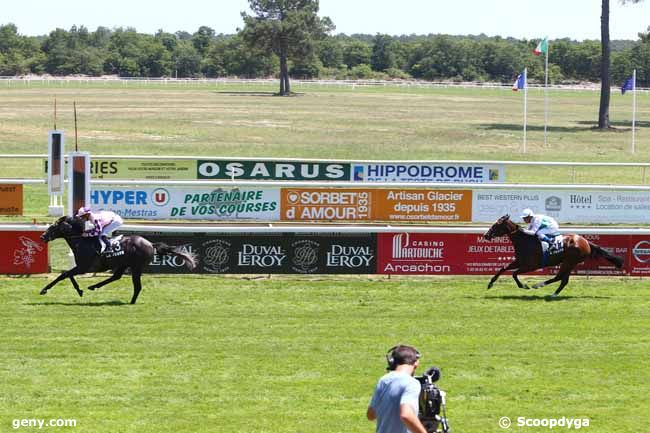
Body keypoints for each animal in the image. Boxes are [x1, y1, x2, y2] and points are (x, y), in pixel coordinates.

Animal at [37, 216, 194, 304]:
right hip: (123, 264)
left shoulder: (84, 267)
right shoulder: (81, 268)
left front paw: (44, 290)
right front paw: (80, 290)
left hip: (136, 267)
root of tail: (150, 244)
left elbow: (64, 275)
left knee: (137, 286)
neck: (82, 242)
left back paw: (131, 302)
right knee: (116, 276)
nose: (42, 237)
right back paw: (94, 286)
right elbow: (67, 275)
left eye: (53, 227)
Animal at [480, 213, 624, 296]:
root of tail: (586, 242)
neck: (525, 241)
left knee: (559, 277)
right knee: (563, 280)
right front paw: (490, 283)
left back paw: (539, 286)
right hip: (569, 263)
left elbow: (514, 274)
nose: (486, 235)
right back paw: (553, 294)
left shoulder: (531, 265)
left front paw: (524, 286)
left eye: (496, 225)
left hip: (569, 261)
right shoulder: (519, 261)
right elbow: (503, 268)